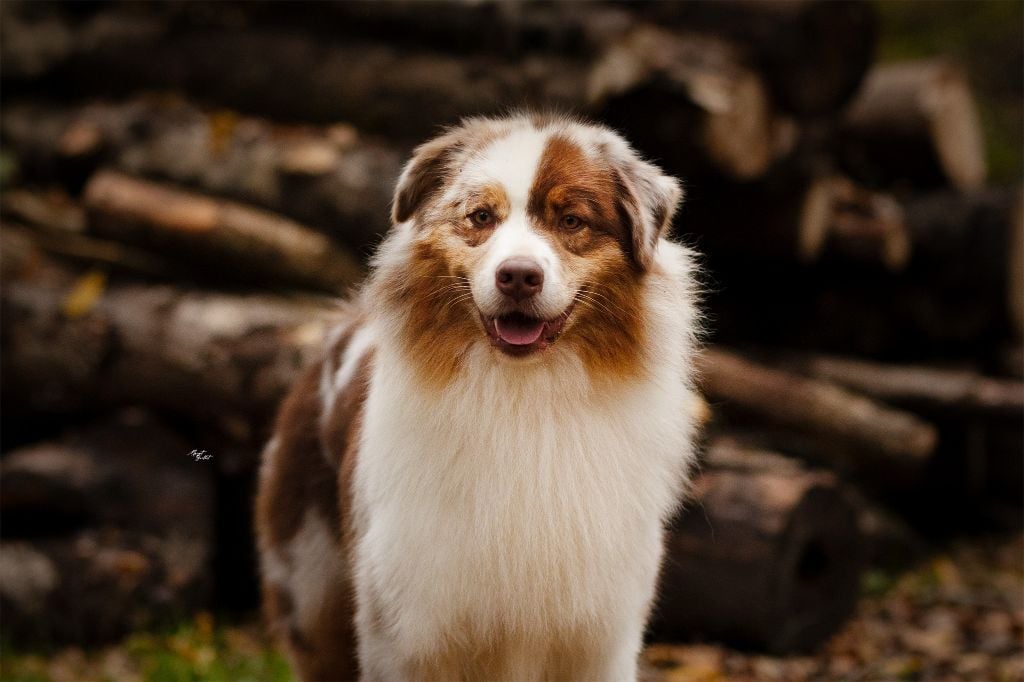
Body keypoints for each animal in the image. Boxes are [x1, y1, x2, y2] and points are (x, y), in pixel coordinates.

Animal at [256, 114, 704, 675]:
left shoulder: (600, 636)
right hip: (311, 597)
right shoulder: (402, 628)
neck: (523, 393)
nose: (518, 276)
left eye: (572, 221)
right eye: (481, 216)